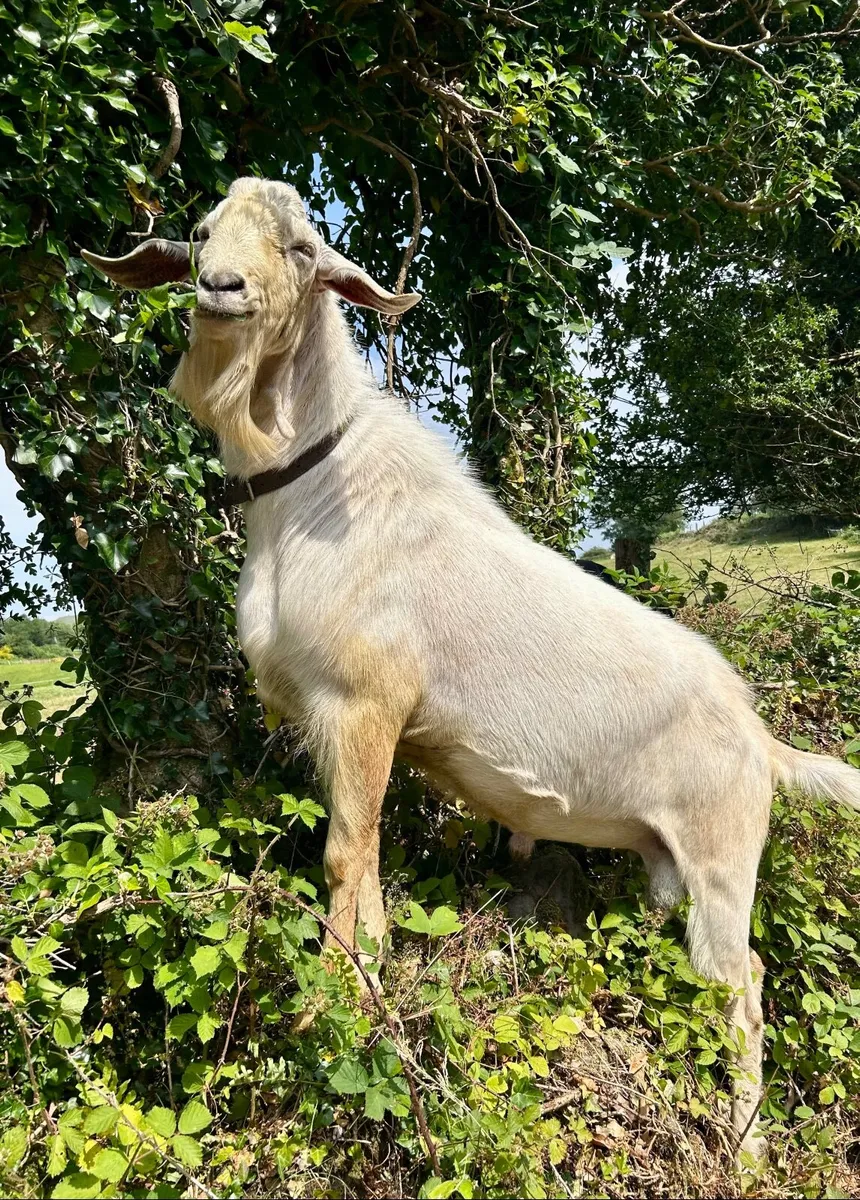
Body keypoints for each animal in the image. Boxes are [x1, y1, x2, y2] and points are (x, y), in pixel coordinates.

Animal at [83, 177, 860, 1162]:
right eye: (201, 232)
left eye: (301, 248)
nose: (222, 289)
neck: (313, 496)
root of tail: (764, 742)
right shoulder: (345, 727)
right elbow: (371, 861)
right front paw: (374, 981)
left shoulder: (365, 704)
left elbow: (345, 856)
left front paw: (336, 1005)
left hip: (724, 856)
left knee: (742, 984)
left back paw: (747, 1145)